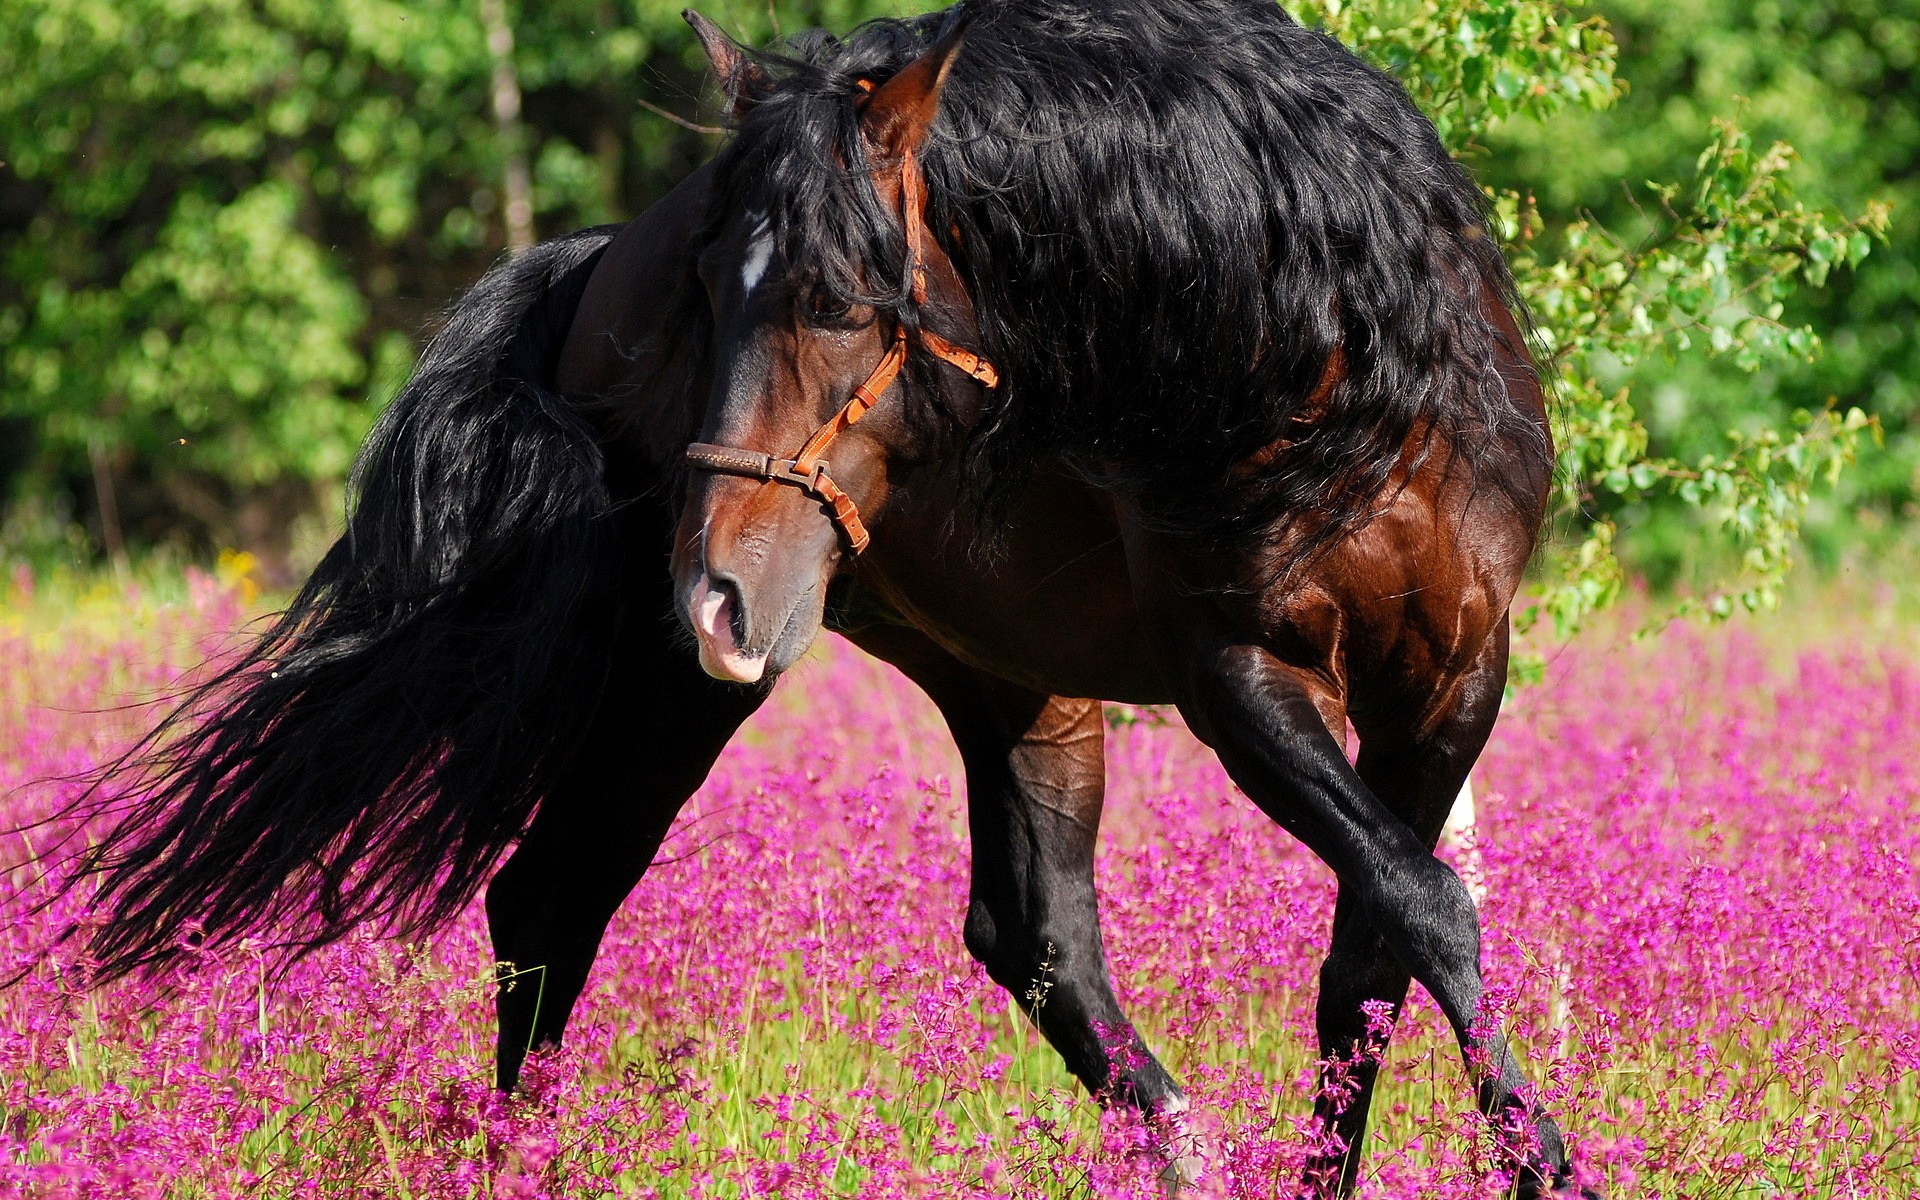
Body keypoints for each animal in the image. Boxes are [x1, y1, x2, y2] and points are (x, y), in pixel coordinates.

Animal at [60, 4, 1589, 1190]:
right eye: (707, 295)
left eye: (845, 300)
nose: (711, 592)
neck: (1314, 367)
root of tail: (587, 264)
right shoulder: (1241, 679)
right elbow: (1422, 907)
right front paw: (1550, 1167)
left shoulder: (1450, 678)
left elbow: (1376, 952)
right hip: (688, 686)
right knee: (554, 897)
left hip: (1002, 676)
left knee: (1037, 934)